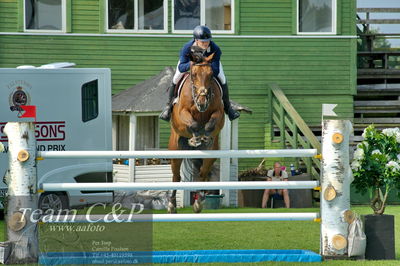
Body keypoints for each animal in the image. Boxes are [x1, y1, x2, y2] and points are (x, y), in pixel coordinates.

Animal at [167, 50, 227, 214]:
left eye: (211, 74)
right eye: (193, 74)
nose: (202, 101)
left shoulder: (219, 113)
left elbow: (211, 124)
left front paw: (204, 136)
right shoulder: (182, 113)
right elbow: (192, 123)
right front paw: (195, 137)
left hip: (211, 154)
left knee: (202, 173)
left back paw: (198, 202)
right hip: (175, 149)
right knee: (176, 176)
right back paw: (171, 205)